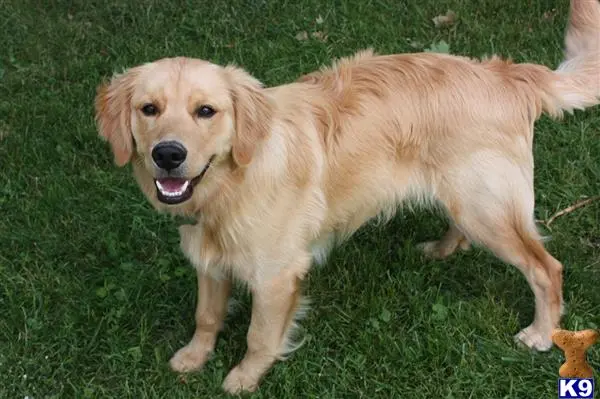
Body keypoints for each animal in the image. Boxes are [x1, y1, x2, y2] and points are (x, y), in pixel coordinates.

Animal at [94, 0, 600, 394]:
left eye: (206, 111)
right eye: (149, 109)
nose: (168, 154)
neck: (231, 184)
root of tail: (507, 74)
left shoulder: (276, 275)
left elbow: (260, 336)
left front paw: (244, 377)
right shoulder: (209, 257)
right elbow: (206, 315)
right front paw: (194, 357)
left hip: (488, 209)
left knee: (546, 268)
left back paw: (541, 332)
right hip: (466, 199)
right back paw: (440, 249)